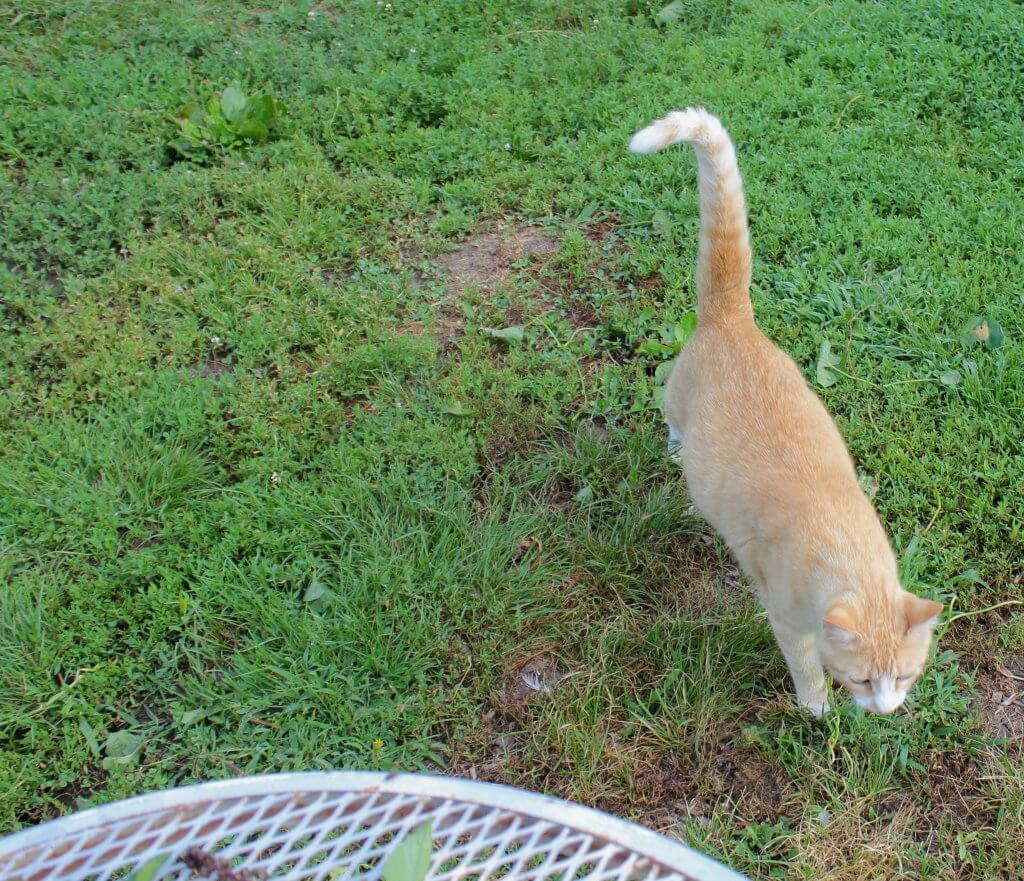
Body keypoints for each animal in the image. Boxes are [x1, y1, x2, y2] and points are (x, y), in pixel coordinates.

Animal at [630, 108, 942, 717]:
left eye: (906, 675)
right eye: (863, 679)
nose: (885, 710)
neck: (847, 551)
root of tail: (733, 316)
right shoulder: (787, 621)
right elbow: (806, 669)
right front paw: (816, 708)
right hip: (677, 399)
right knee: (671, 421)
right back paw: (675, 453)